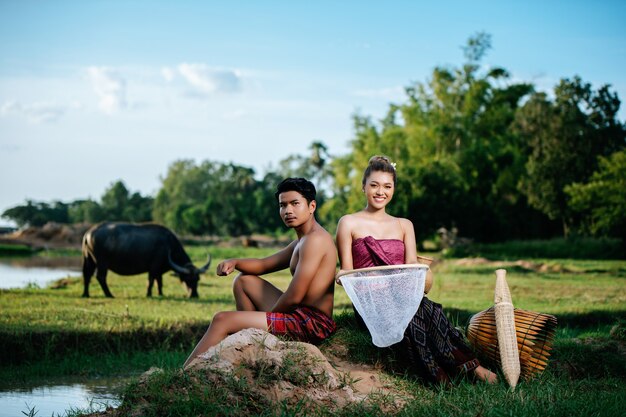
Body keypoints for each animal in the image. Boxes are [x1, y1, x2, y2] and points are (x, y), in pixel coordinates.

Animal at [81, 223, 210, 298]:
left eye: (197, 279)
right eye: (186, 279)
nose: (194, 295)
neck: (169, 245)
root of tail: (88, 233)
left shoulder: (159, 270)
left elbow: (159, 282)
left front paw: (160, 294)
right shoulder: (154, 267)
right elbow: (151, 281)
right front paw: (149, 294)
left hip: (89, 260)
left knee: (87, 274)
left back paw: (86, 294)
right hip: (102, 262)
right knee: (100, 276)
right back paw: (109, 294)